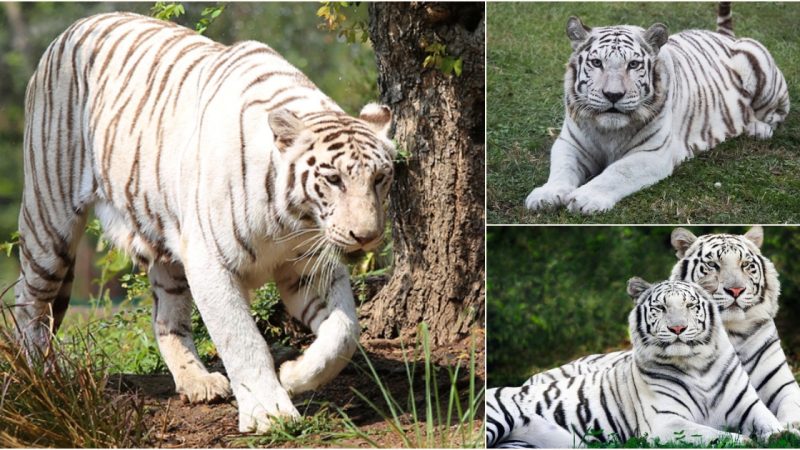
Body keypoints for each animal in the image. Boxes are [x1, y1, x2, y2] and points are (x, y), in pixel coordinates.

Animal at [484, 278, 784, 446]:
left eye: (690, 306)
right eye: (660, 308)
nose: (677, 328)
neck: (697, 366)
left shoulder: (749, 407)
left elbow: (771, 423)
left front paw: (779, 435)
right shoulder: (665, 423)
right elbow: (712, 434)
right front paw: (745, 441)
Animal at [520, 3, 792, 214]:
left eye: (633, 64)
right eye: (597, 63)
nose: (613, 95)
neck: (609, 131)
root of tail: (726, 36)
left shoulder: (652, 153)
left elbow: (617, 172)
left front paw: (586, 198)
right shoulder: (570, 144)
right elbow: (561, 169)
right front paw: (546, 195)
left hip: (759, 68)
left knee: (776, 114)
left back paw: (757, 129)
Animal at [524, 227, 800, 428]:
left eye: (746, 265)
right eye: (713, 265)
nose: (735, 290)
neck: (730, 331)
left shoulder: (782, 386)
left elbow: (791, 409)